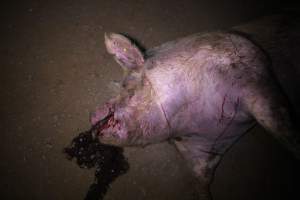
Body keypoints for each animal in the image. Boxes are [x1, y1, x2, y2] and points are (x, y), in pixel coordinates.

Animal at [90, 30, 298, 198]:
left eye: (126, 87)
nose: (92, 115)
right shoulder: (203, 147)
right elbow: (201, 179)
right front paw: (203, 195)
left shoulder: (253, 81)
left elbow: (274, 121)